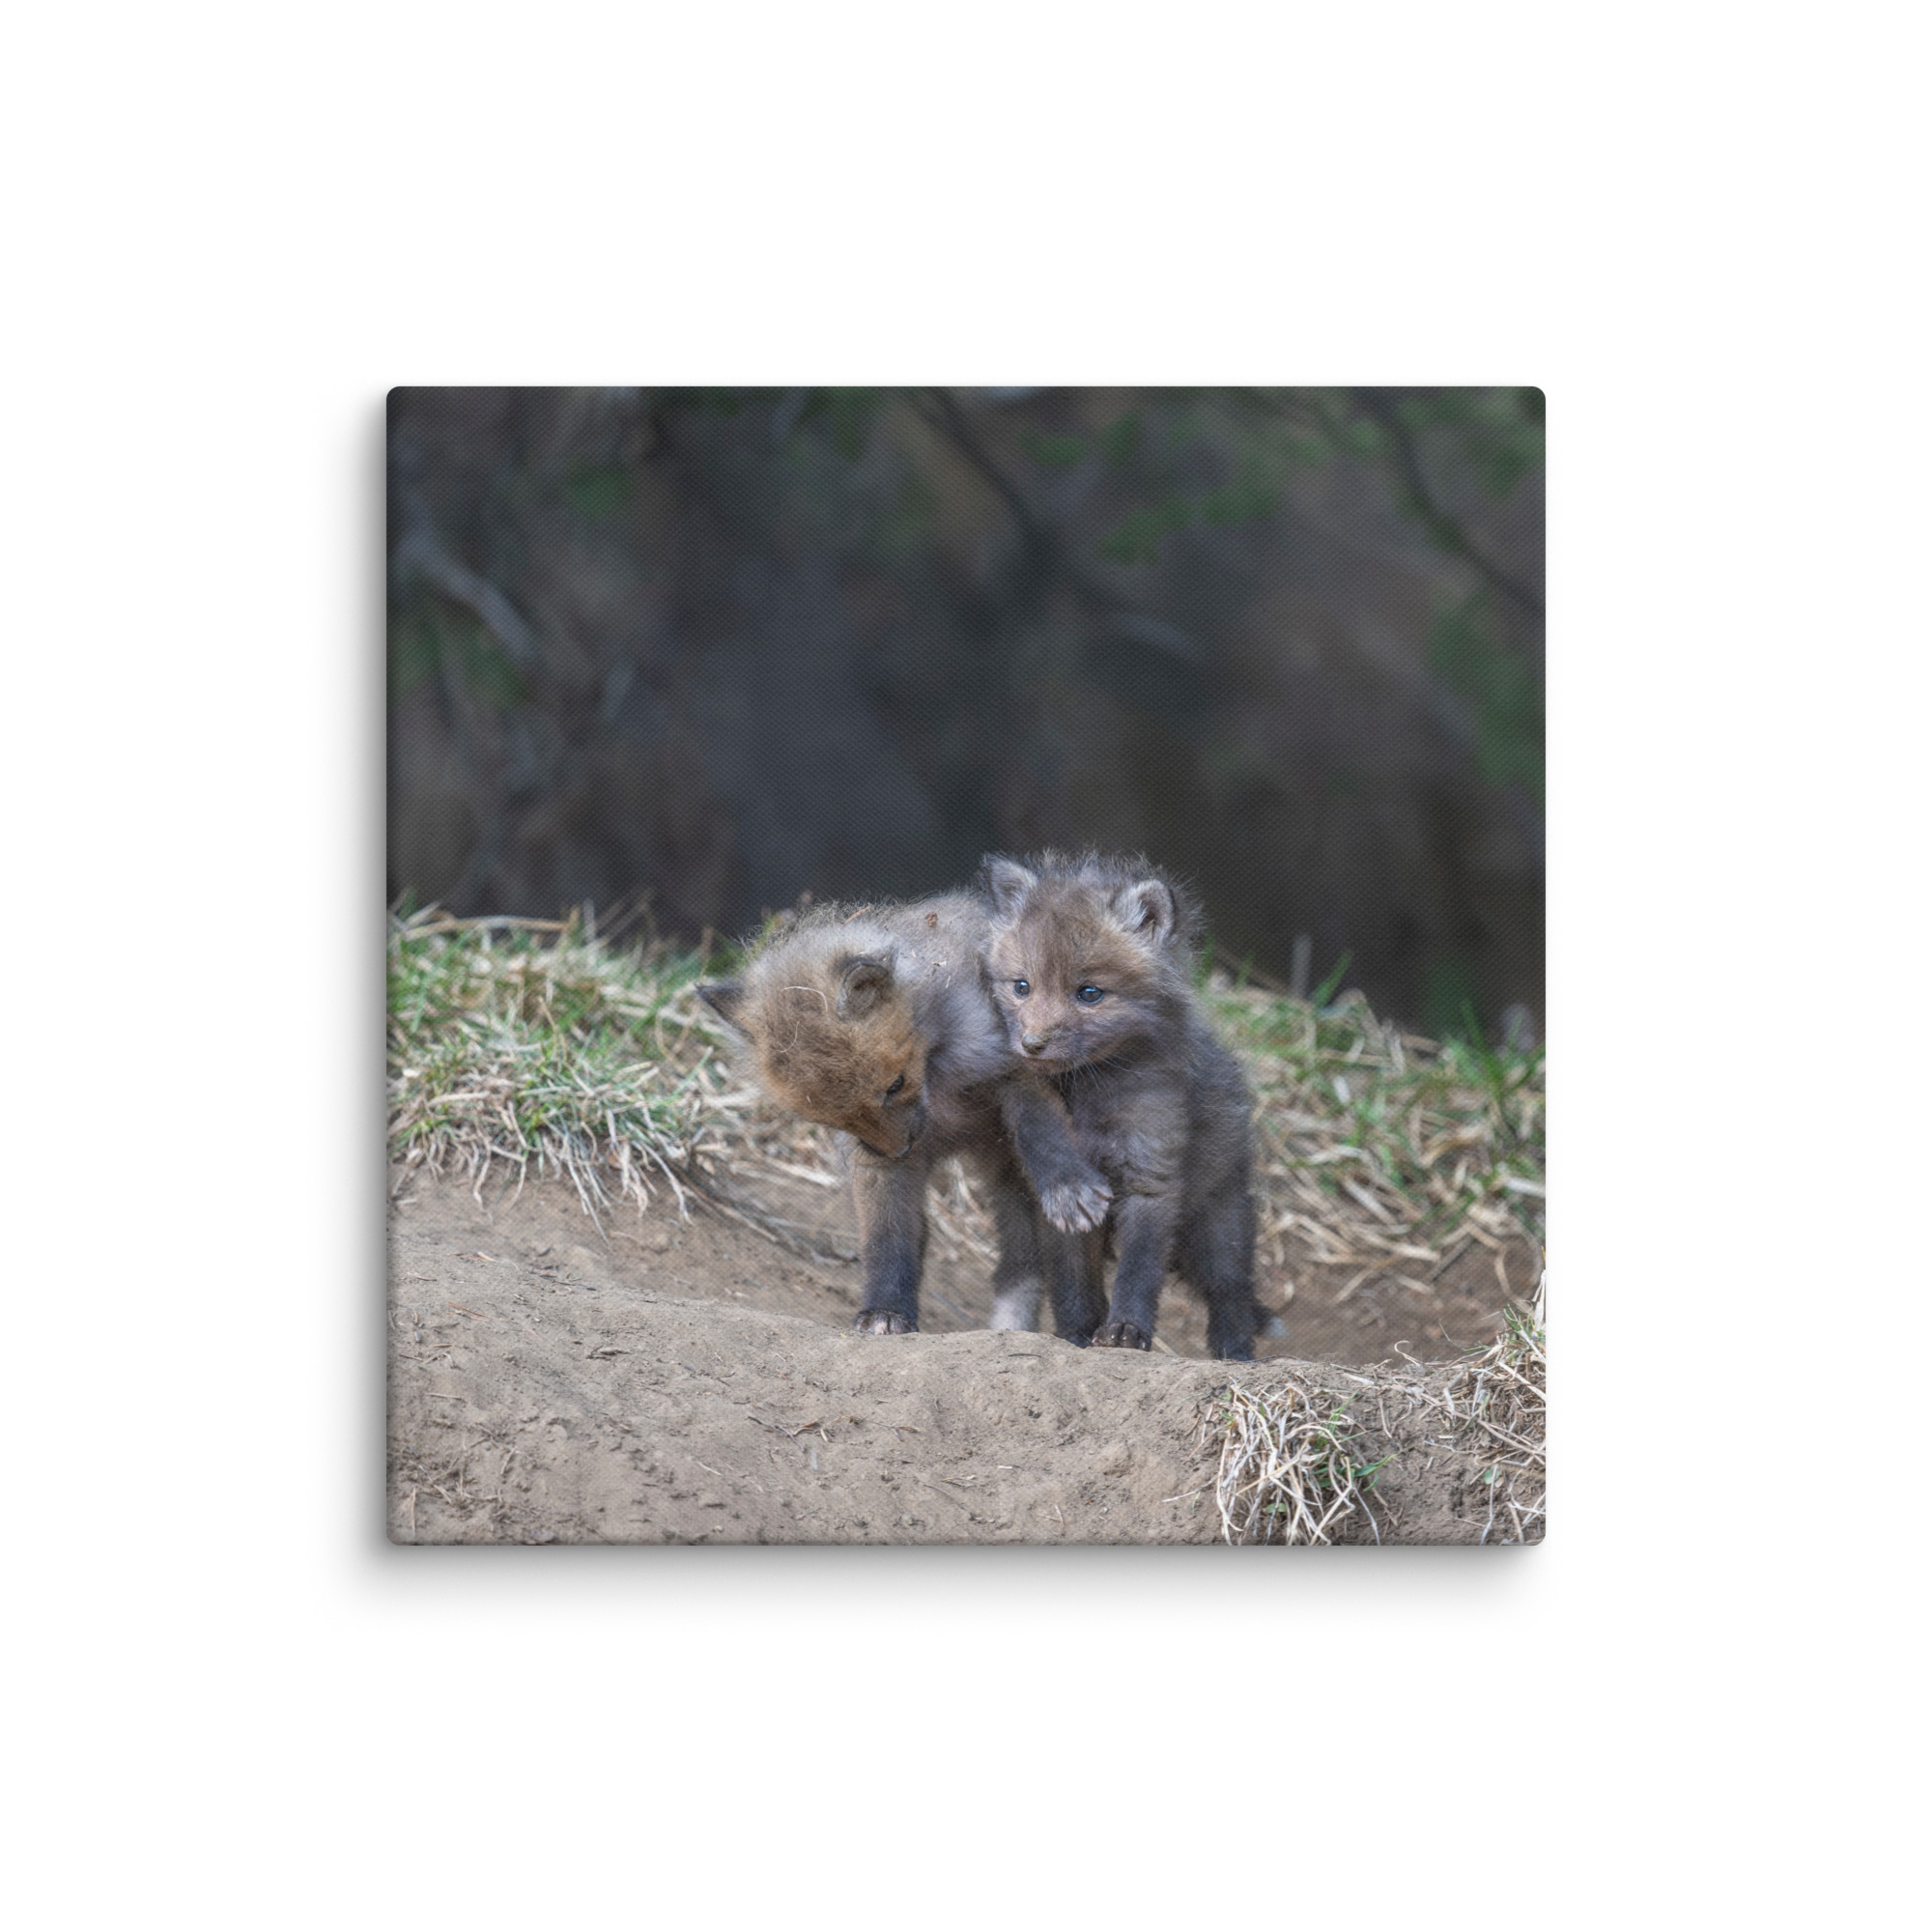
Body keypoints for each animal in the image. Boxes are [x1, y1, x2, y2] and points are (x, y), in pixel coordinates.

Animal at [696, 894, 1113, 1337]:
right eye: (833, 1119)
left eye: (895, 1085)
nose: (899, 1150)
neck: (939, 1079)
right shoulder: (874, 1162)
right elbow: (887, 1238)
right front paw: (886, 1311)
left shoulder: (1016, 1066)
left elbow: (1041, 1130)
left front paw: (1067, 1185)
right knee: (1016, 1264)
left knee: (1066, 1268)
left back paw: (1080, 1332)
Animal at [978, 851, 1260, 1361]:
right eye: (1022, 986)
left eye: (1089, 993)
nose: (1031, 1044)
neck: (1089, 1094)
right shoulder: (1063, 1204)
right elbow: (1072, 1281)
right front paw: (1076, 1334)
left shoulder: (1151, 1176)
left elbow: (1139, 1270)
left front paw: (1127, 1331)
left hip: (1218, 1226)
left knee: (1232, 1291)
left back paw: (1236, 1354)